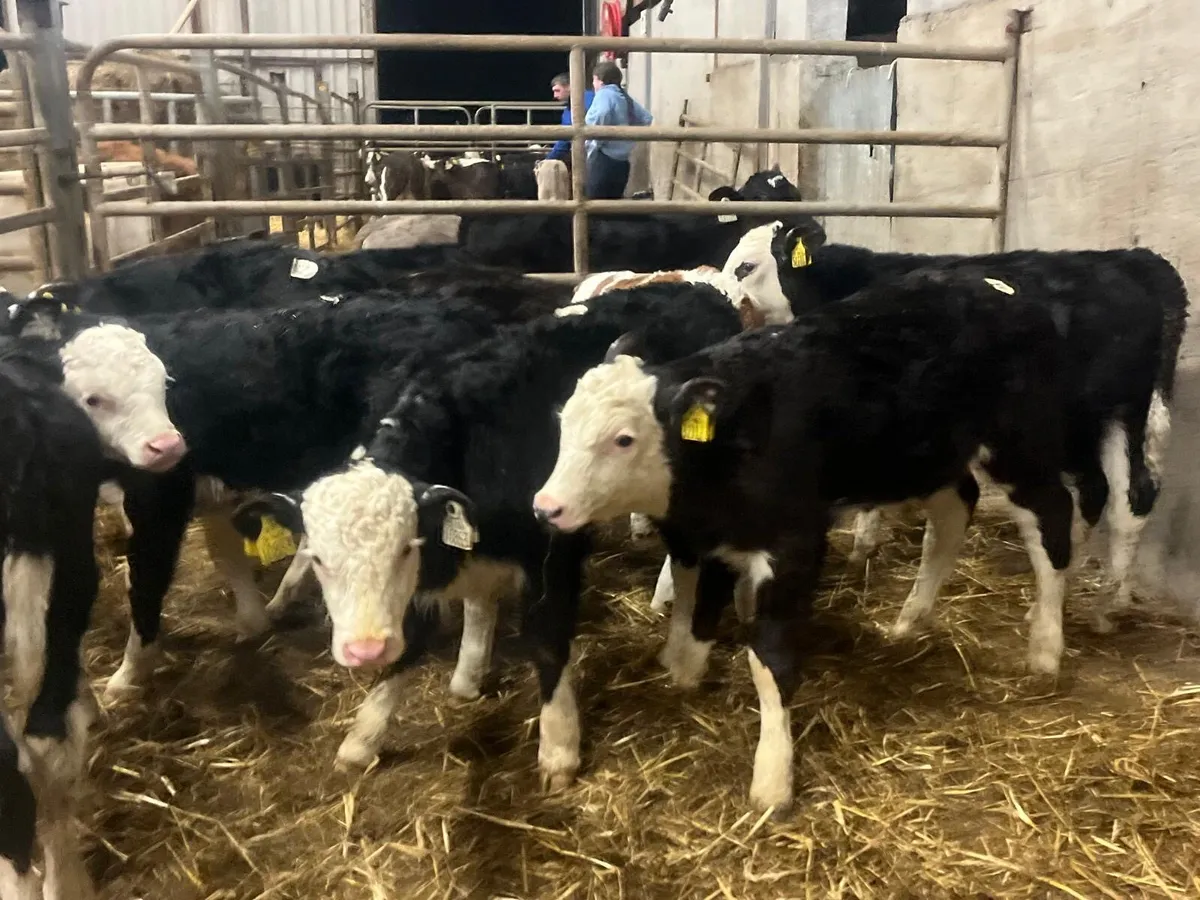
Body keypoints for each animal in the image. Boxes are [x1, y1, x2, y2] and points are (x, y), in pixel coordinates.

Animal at [229, 281, 747, 776]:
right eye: (317, 558)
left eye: (405, 548)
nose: (365, 649)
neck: (471, 438)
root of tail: (700, 291)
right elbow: (427, 632)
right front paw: (365, 736)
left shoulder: (552, 552)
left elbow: (547, 639)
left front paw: (558, 747)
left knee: (687, 562)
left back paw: (682, 641)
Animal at [533, 268, 1082, 812]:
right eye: (562, 422)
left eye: (623, 439)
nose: (546, 506)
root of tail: (999, 289)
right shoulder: (710, 537)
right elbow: (695, 612)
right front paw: (683, 669)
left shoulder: (793, 545)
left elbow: (768, 660)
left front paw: (773, 779)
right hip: (932, 458)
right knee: (953, 513)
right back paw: (910, 620)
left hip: (1021, 446)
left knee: (1052, 522)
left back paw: (1045, 647)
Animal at [715, 220, 1189, 633]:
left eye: (746, 267)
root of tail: (1131, 261)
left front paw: (863, 545)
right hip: (1095, 422)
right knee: (1104, 491)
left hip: (1098, 416)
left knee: (1124, 498)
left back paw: (1101, 608)